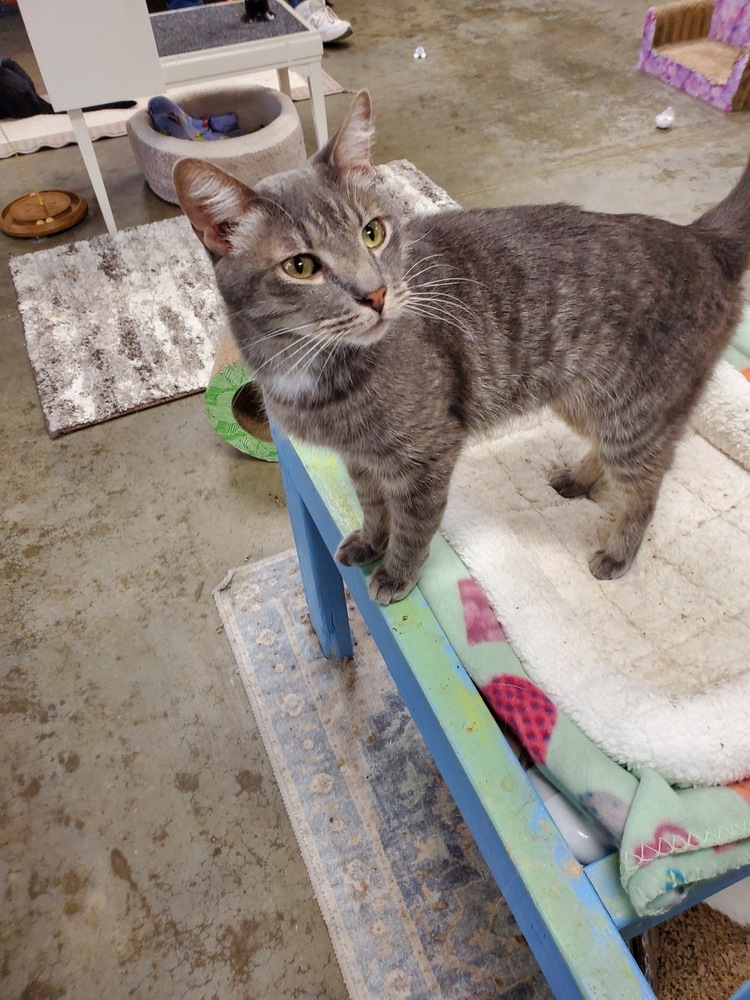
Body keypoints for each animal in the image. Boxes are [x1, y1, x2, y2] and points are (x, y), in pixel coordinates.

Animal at [173, 92, 750, 600]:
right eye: (300, 266)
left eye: (372, 233)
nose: (375, 294)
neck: (311, 364)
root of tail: (700, 238)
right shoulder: (360, 458)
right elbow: (373, 505)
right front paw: (370, 541)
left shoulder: (427, 452)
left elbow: (413, 520)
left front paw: (398, 571)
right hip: (585, 401)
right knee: (610, 459)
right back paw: (578, 478)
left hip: (635, 413)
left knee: (646, 488)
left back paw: (619, 549)